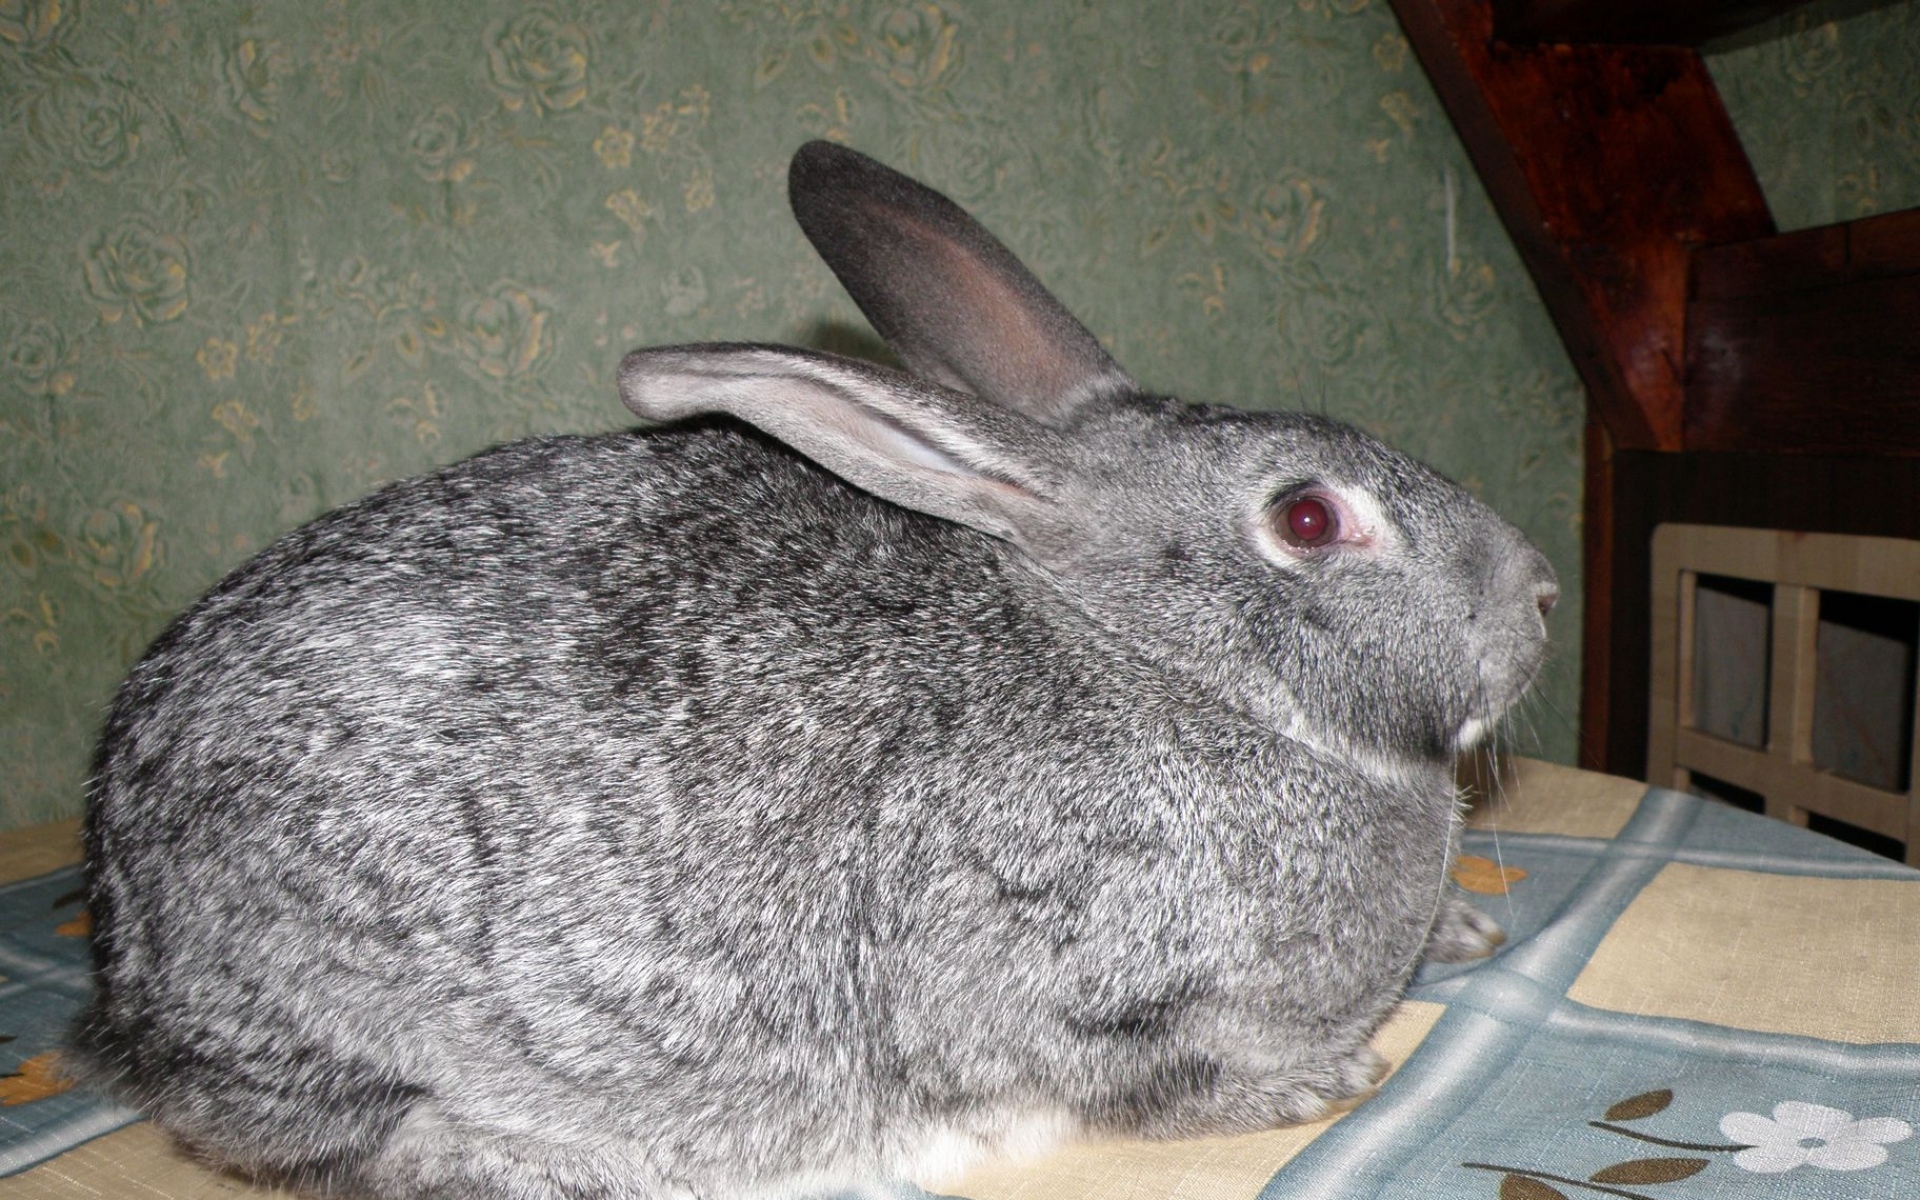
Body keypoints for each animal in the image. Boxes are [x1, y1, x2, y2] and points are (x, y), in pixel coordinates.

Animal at [73, 140, 1558, 1200]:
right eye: (1307, 519)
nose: (1541, 598)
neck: (1164, 663)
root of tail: (123, 942)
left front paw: (1466, 936)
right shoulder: (1062, 987)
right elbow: (1142, 1081)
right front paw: (1319, 1083)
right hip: (343, 1015)